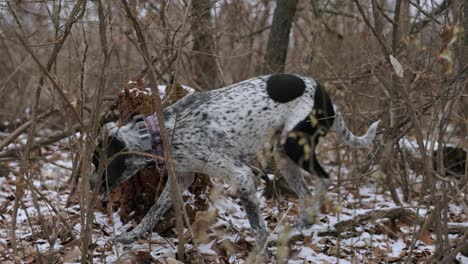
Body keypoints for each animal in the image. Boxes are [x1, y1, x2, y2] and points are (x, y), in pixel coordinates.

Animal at [91, 73, 380, 246]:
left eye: (99, 162)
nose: (92, 186)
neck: (162, 131)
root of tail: (326, 96)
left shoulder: (241, 176)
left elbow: (258, 228)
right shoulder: (182, 177)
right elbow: (153, 212)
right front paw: (133, 235)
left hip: (296, 147)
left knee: (324, 179)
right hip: (284, 157)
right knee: (306, 193)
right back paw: (302, 224)